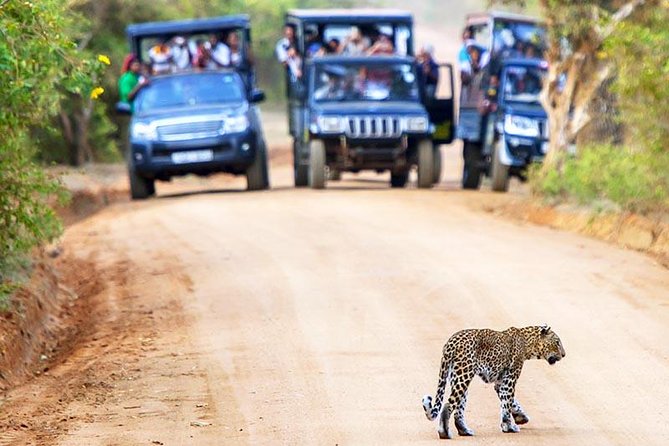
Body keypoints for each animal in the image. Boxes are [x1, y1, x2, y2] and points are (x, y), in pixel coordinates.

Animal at [422, 324, 564, 440]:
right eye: (557, 342)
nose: (564, 355)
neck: (528, 343)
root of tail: (450, 343)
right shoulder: (511, 377)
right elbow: (507, 402)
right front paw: (509, 426)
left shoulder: (500, 382)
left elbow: (510, 401)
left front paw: (520, 417)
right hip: (464, 374)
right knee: (448, 404)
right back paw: (444, 433)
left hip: (456, 376)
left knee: (459, 408)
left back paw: (465, 431)